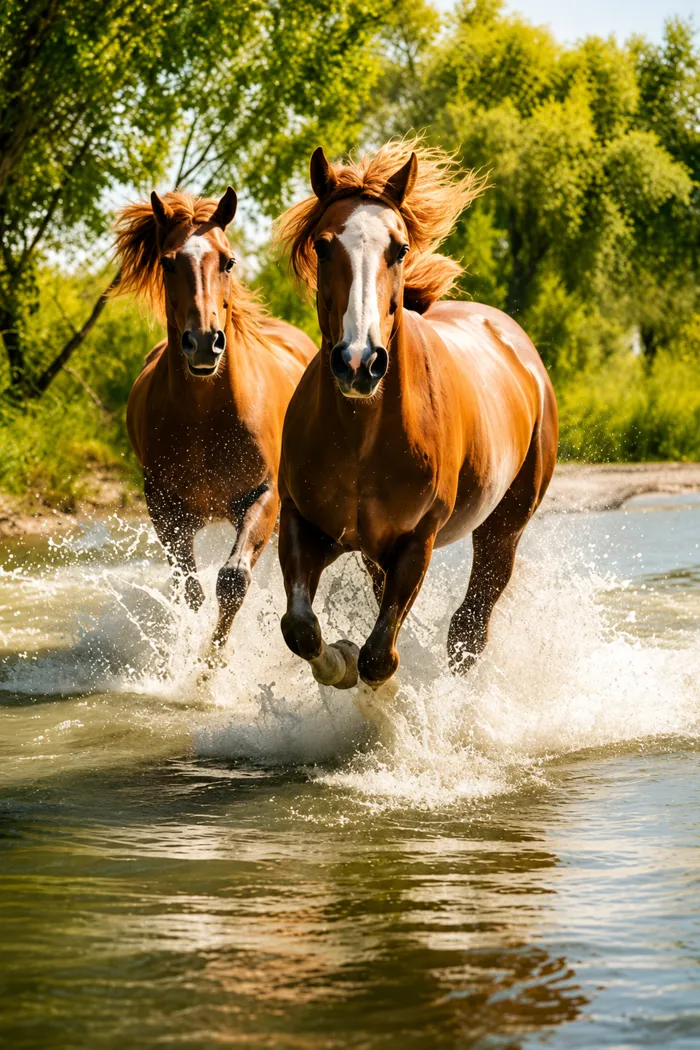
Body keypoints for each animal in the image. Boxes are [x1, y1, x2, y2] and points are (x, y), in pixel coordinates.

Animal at [113, 187, 316, 656]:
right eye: (168, 262)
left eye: (228, 261)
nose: (205, 342)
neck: (205, 418)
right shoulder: (166, 509)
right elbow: (191, 590)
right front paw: (195, 656)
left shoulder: (264, 496)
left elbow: (233, 580)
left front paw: (213, 662)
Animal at [274, 140, 558, 690]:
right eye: (323, 245)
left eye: (399, 249)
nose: (359, 361)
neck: (363, 437)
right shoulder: (303, 522)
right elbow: (301, 628)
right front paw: (339, 663)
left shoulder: (415, 541)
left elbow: (379, 656)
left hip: (503, 531)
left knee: (469, 630)